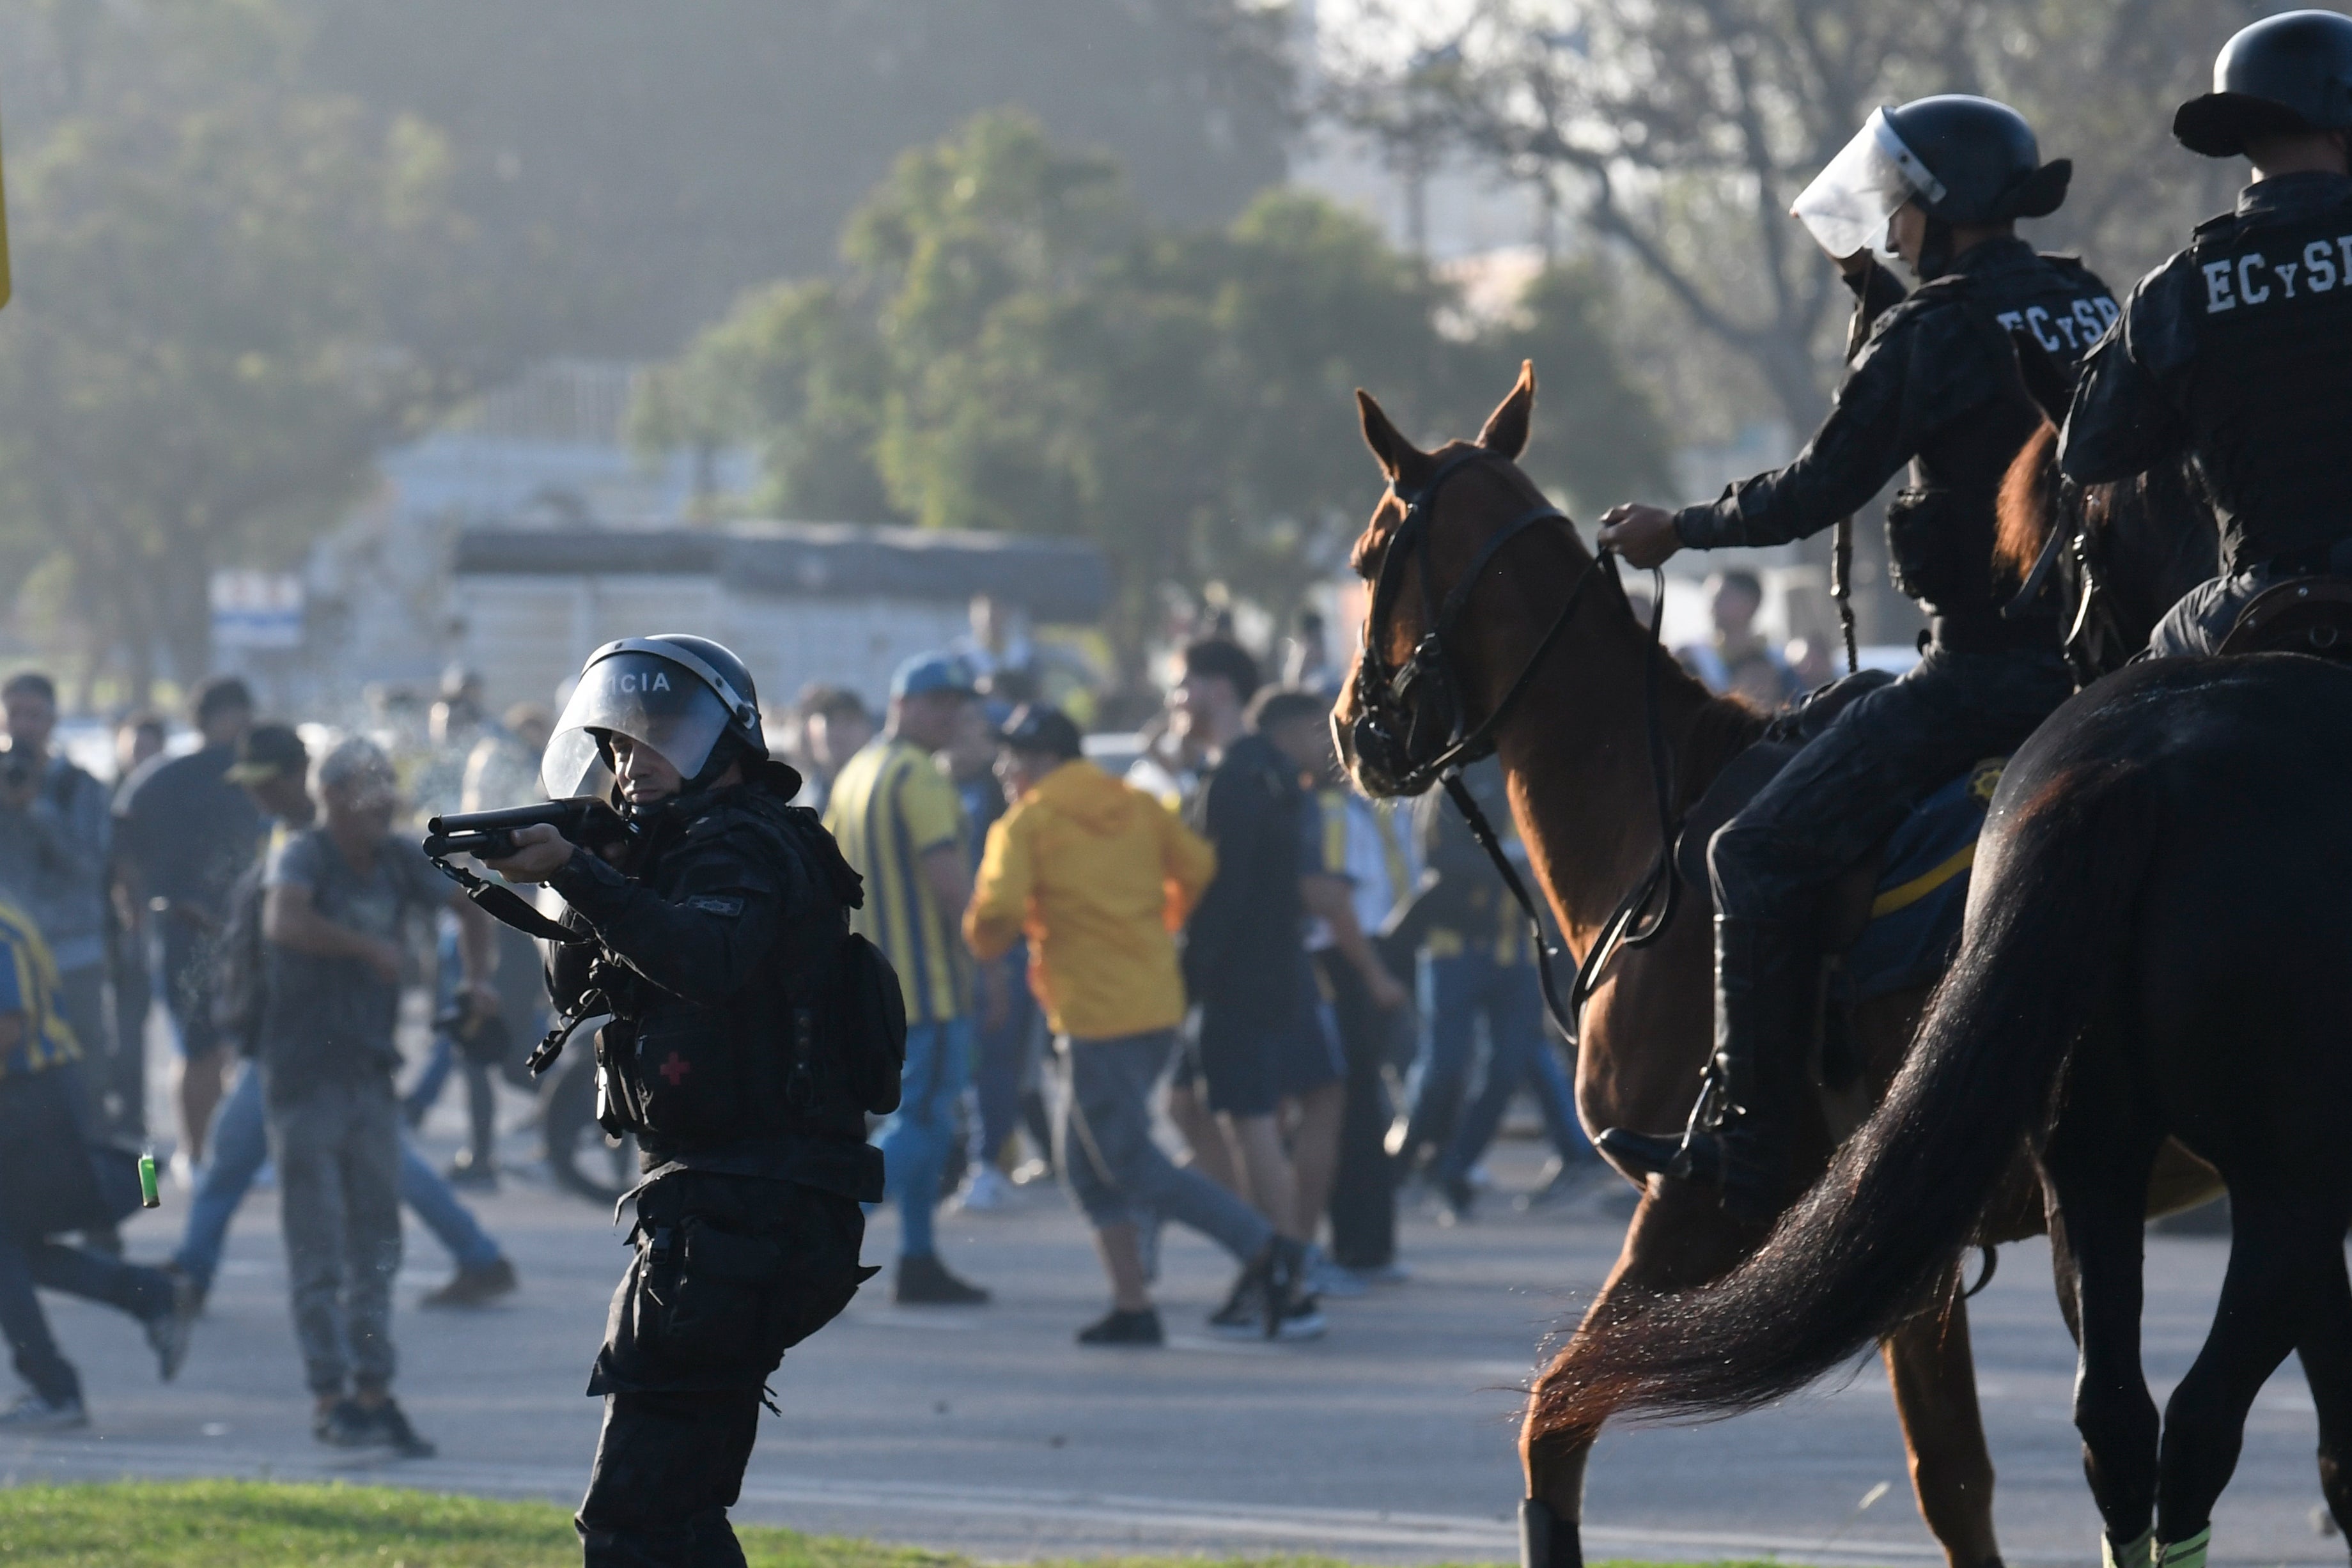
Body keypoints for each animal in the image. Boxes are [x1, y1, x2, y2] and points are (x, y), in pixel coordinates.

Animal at [1336, 362, 2211, 1568]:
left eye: (1368, 556)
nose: (1347, 730)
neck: (1658, 817)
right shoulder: (1900, 1245)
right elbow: (1952, 1479)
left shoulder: (1697, 1207)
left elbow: (1551, 1415)